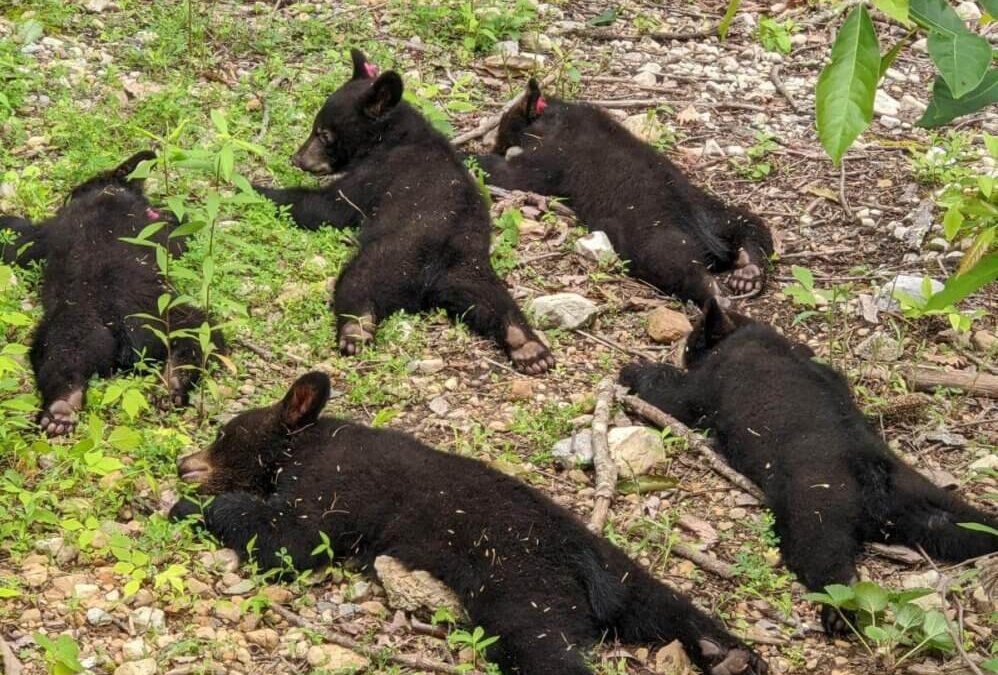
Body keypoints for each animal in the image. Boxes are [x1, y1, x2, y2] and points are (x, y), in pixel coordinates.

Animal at [0, 151, 223, 436]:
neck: (109, 191)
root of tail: (122, 329)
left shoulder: (49, 231)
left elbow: (21, 240)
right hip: (149, 317)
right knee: (197, 334)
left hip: (87, 321)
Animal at [171, 371, 768, 675]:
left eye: (223, 434)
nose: (183, 462)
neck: (298, 447)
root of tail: (587, 568)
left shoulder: (333, 485)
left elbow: (293, 539)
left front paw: (188, 506)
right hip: (624, 571)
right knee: (670, 607)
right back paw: (730, 655)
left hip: (522, 587)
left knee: (545, 650)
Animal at [254, 50, 554, 375]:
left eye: (323, 133)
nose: (297, 158)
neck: (394, 135)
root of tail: (431, 276)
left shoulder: (378, 171)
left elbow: (330, 205)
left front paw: (255, 188)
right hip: (471, 272)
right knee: (495, 302)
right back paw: (529, 348)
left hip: (387, 258)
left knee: (356, 283)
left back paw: (356, 331)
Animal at [471, 79, 775, 307]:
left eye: (503, 127)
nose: (495, 144)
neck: (552, 117)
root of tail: (702, 231)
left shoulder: (551, 157)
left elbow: (513, 174)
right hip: (713, 209)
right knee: (750, 224)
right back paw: (748, 271)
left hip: (653, 240)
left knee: (678, 267)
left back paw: (718, 293)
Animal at [619, 298, 998, 632]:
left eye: (694, 337)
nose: (685, 346)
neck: (749, 334)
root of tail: (871, 469)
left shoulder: (700, 389)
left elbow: (669, 393)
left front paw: (634, 370)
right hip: (929, 501)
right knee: (963, 525)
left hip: (813, 513)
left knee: (831, 568)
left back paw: (838, 616)